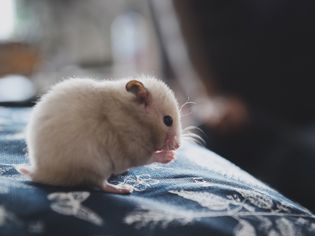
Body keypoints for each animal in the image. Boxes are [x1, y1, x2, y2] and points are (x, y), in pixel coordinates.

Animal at [18, 75, 183, 194]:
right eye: (168, 120)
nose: (178, 146)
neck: (133, 116)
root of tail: (42, 172)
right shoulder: (131, 146)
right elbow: (147, 158)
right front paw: (170, 156)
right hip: (95, 164)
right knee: (100, 184)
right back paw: (124, 189)